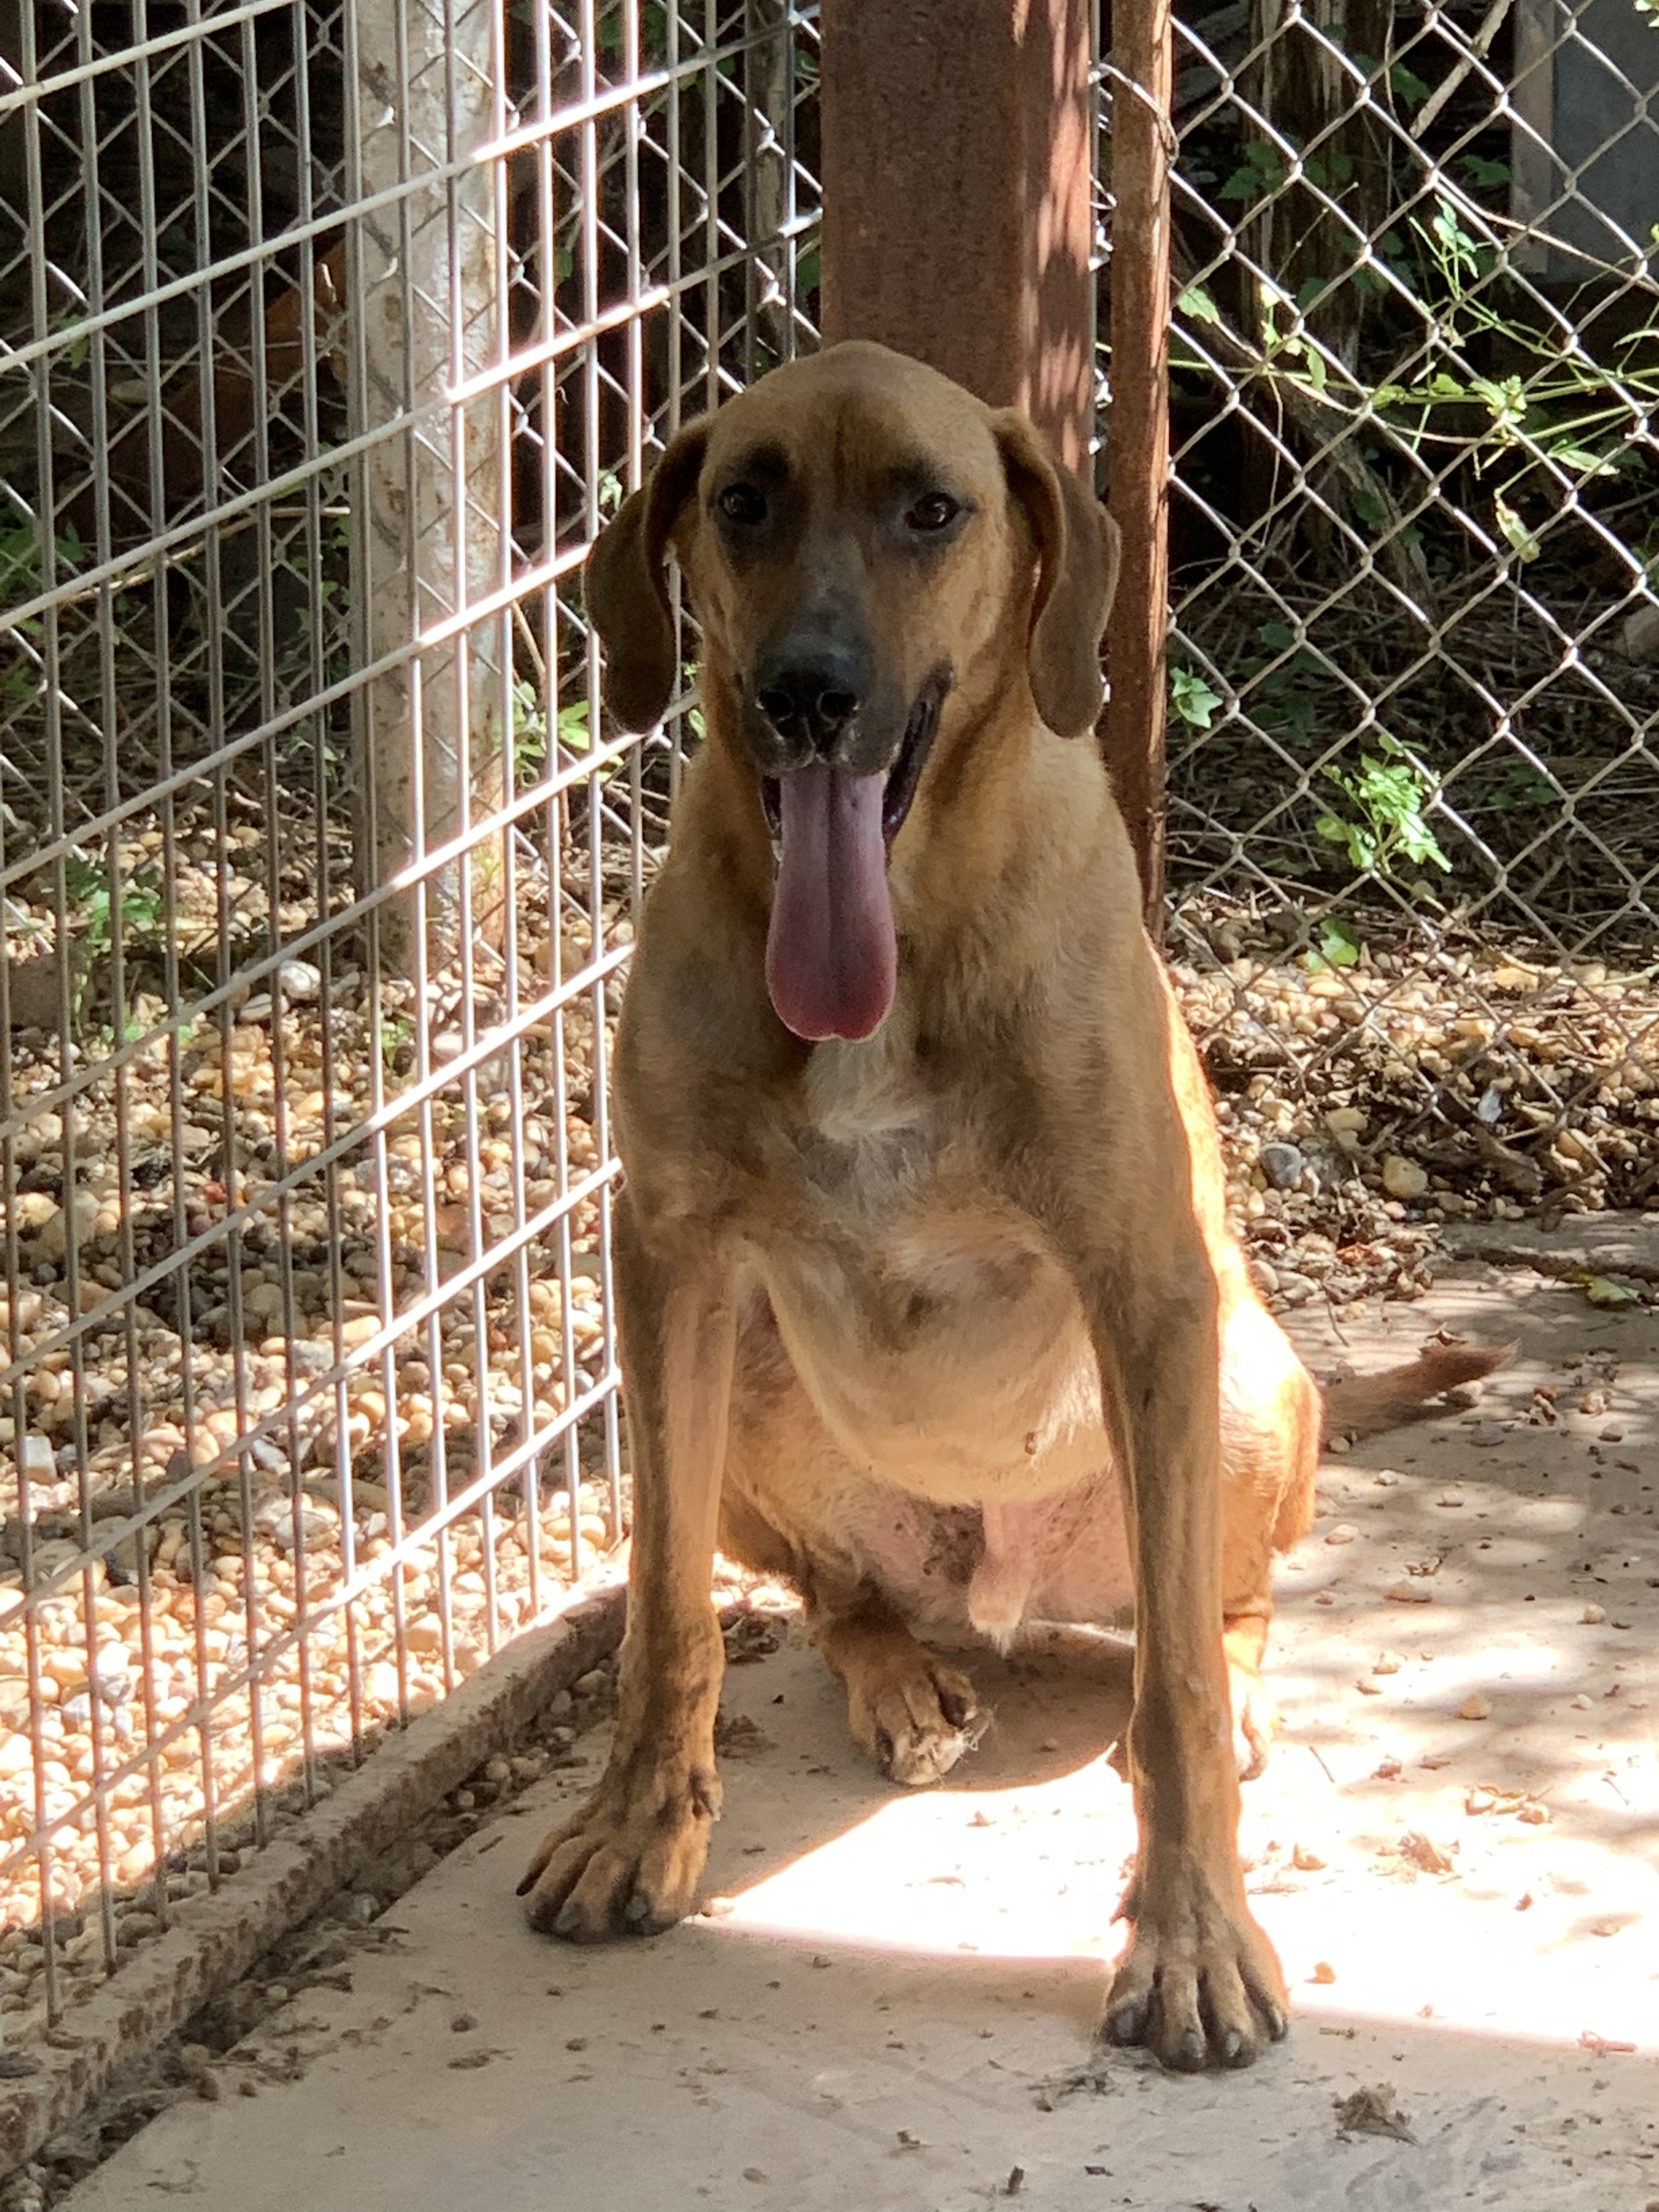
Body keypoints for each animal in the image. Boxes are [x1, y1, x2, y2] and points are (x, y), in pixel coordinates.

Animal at [522, 336, 1504, 2061]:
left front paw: (1191, 1938)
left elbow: (1172, 1692)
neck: (894, 934)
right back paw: (900, 1676)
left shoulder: (1146, 1281)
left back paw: (1231, 1693)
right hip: (734, 1396)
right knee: (835, 1592)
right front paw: (639, 1829)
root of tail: (994, 1586)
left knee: (1221, 1616)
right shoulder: (664, 1256)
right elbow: (663, 1615)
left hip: (1241, 1389)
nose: (809, 694)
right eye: (744, 500)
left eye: (934, 509)